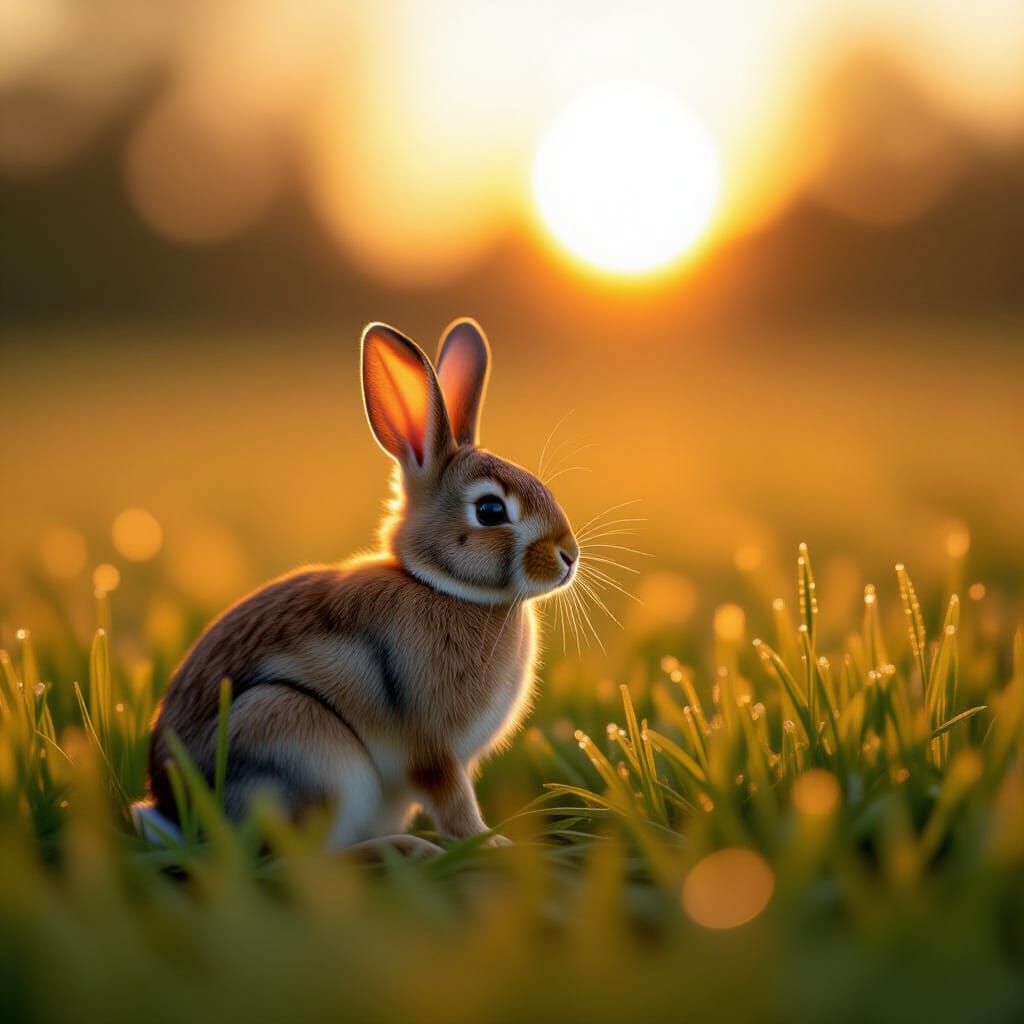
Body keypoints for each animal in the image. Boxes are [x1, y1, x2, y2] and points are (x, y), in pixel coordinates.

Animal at [132, 319, 579, 857]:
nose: (570, 556)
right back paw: (405, 850)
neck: (442, 586)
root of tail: (179, 818)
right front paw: (491, 845)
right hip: (296, 737)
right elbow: (454, 803)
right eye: (491, 510)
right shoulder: (432, 749)